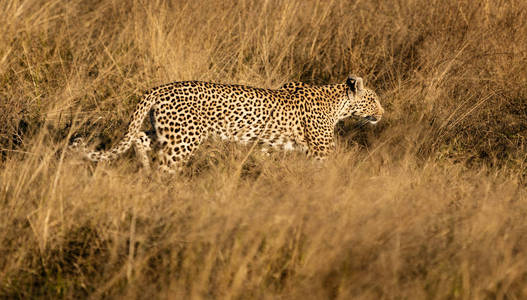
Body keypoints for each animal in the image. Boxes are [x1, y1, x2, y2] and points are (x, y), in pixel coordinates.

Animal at [70, 75, 384, 173]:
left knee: (139, 138)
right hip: (183, 141)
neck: (338, 104)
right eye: (374, 100)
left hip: (166, 132)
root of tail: (159, 88)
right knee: (165, 169)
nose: (383, 112)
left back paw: (143, 170)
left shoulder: (268, 145)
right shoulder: (321, 152)